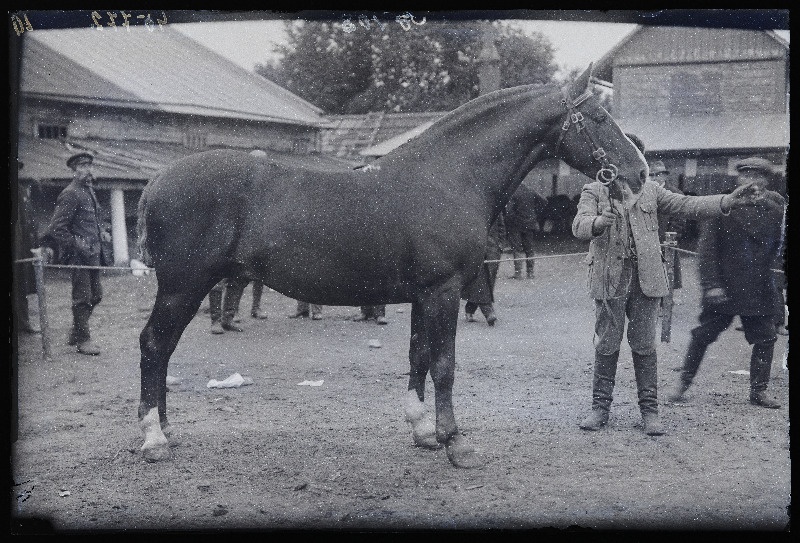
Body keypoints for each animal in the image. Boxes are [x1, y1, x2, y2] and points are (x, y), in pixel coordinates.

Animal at [138, 67, 648, 468]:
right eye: (599, 118)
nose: (640, 172)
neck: (449, 177)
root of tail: (157, 180)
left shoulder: (424, 294)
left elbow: (418, 356)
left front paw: (422, 431)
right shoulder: (443, 290)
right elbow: (444, 364)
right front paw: (455, 443)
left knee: (163, 350)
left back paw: (164, 430)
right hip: (183, 287)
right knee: (154, 346)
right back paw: (153, 438)